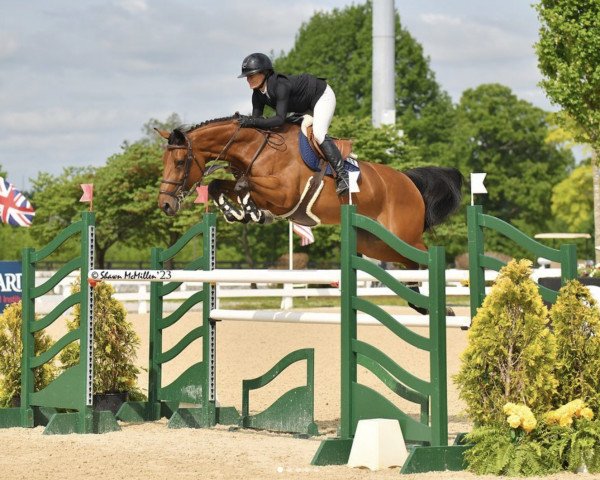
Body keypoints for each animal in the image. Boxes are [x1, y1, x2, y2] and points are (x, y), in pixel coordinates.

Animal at [156, 113, 464, 270]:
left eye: (180, 162)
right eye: (164, 162)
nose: (165, 205)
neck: (256, 149)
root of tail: (408, 181)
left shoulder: (284, 196)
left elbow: (244, 187)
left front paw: (253, 212)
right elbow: (219, 185)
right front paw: (235, 212)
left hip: (403, 235)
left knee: (424, 253)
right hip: (376, 243)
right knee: (408, 262)